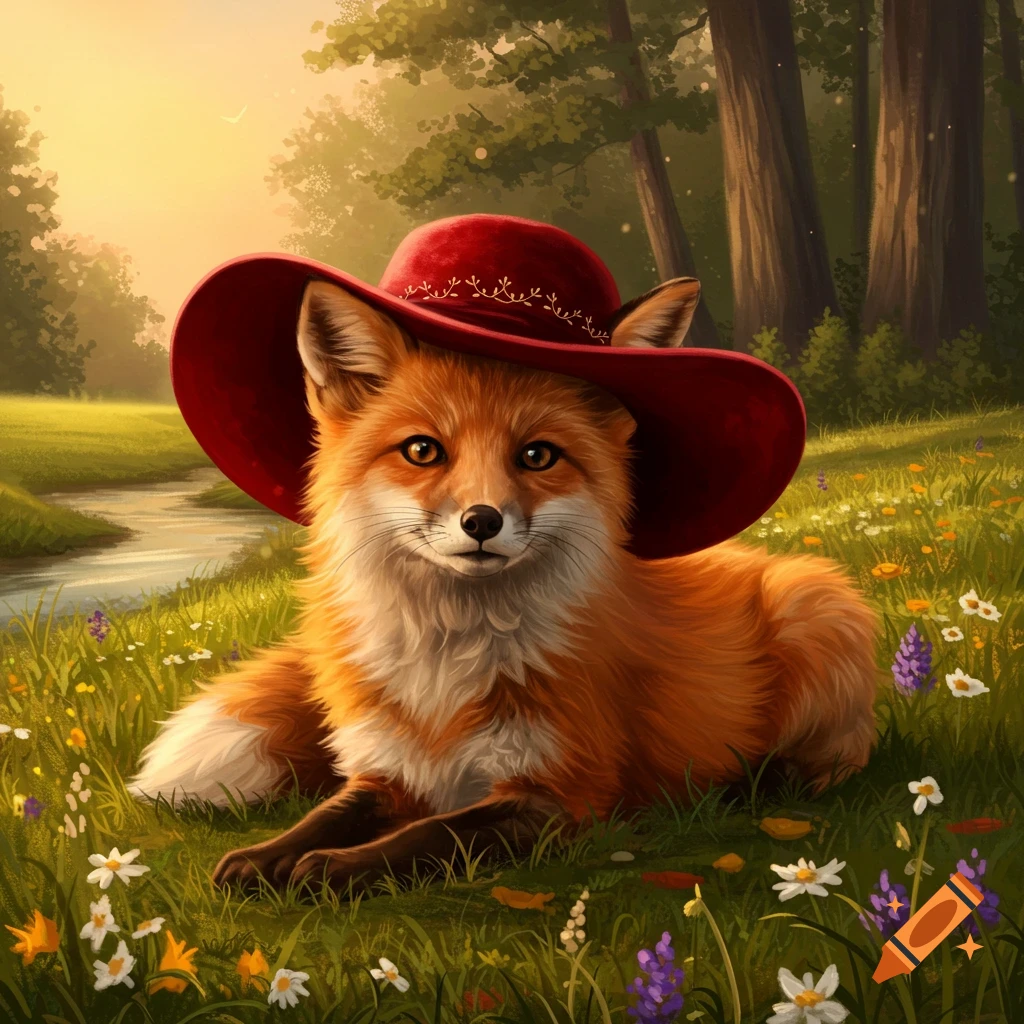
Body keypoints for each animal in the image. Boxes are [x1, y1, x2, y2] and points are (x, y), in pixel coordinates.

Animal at [128, 275, 880, 892]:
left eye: (538, 455)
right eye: (422, 450)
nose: (481, 521)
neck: (446, 664)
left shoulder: (562, 794)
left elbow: (431, 836)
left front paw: (328, 871)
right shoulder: (390, 770)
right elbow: (327, 814)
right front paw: (267, 857)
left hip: (816, 611)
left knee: (841, 755)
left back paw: (760, 780)